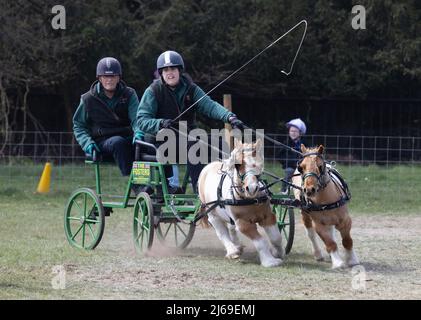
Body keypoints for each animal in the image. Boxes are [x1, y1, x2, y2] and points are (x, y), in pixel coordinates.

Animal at [198, 140, 286, 268]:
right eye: (238, 165)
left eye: (258, 164)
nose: (252, 188)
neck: (249, 200)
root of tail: (208, 167)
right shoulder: (243, 224)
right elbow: (260, 242)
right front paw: (270, 261)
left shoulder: (268, 216)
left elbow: (276, 238)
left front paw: (278, 253)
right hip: (212, 214)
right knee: (221, 232)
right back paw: (232, 251)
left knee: (231, 228)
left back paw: (237, 246)